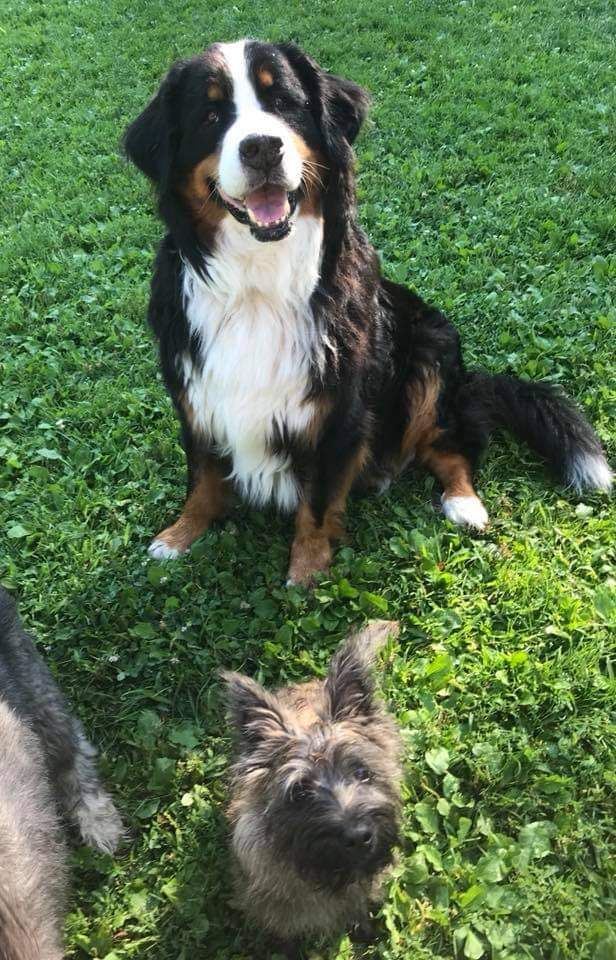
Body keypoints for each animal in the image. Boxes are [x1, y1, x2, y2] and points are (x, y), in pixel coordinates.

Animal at [123, 40, 612, 585]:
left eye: (284, 103)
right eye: (210, 115)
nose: (261, 147)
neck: (259, 280)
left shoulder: (339, 410)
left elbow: (316, 503)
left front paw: (306, 573)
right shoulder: (197, 391)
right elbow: (203, 477)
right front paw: (179, 535)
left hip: (432, 350)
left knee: (448, 446)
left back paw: (464, 504)